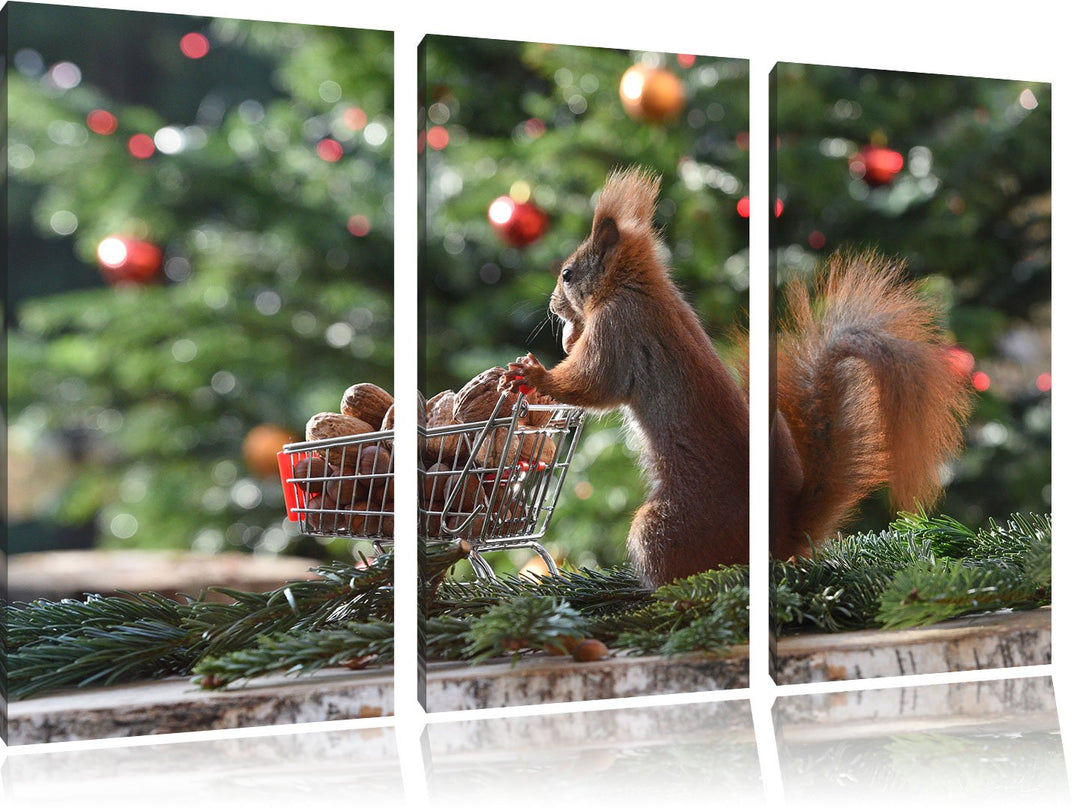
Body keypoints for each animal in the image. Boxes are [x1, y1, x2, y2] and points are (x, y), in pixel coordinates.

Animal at [501, 166, 971, 585]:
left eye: (567, 275)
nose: (553, 306)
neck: (637, 286)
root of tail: (782, 539)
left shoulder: (621, 328)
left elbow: (593, 383)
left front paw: (535, 374)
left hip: (664, 528)